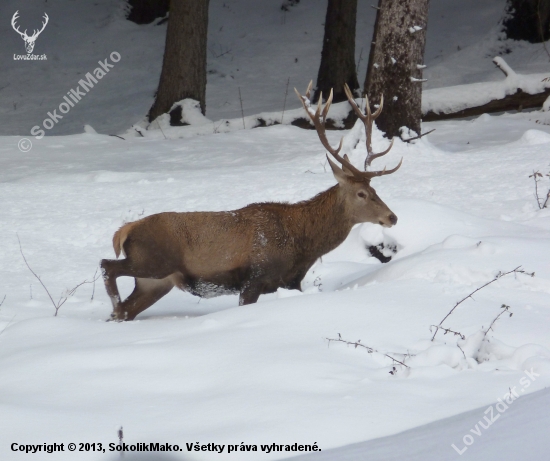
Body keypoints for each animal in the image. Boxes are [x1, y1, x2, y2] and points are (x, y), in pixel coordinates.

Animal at [100, 82, 402, 320]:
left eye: (374, 189)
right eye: (361, 194)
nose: (392, 217)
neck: (302, 244)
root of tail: (124, 231)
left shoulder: (291, 281)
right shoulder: (254, 277)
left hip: (154, 282)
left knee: (127, 307)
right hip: (151, 260)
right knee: (107, 266)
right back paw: (113, 306)